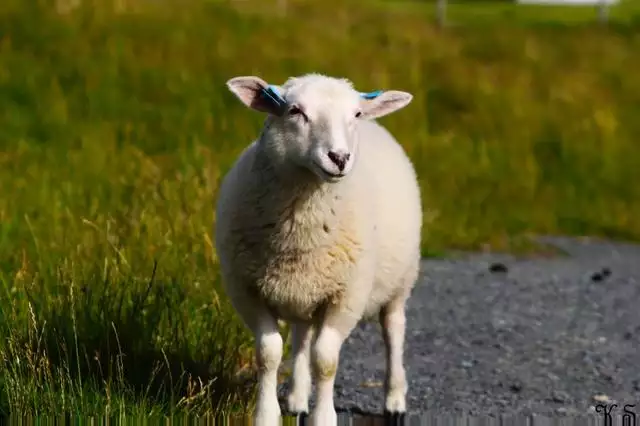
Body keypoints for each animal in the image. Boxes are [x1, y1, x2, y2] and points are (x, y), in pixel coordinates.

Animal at [215, 73, 422, 426]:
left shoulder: (346, 295)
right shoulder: (247, 290)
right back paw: (297, 399)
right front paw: (266, 415)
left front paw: (323, 417)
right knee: (302, 335)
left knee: (393, 330)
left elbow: (325, 359)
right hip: (305, 291)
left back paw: (395, 401)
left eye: (355, 114)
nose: (339, 158)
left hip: (400, 280)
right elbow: (269, 353)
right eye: (295, 111)